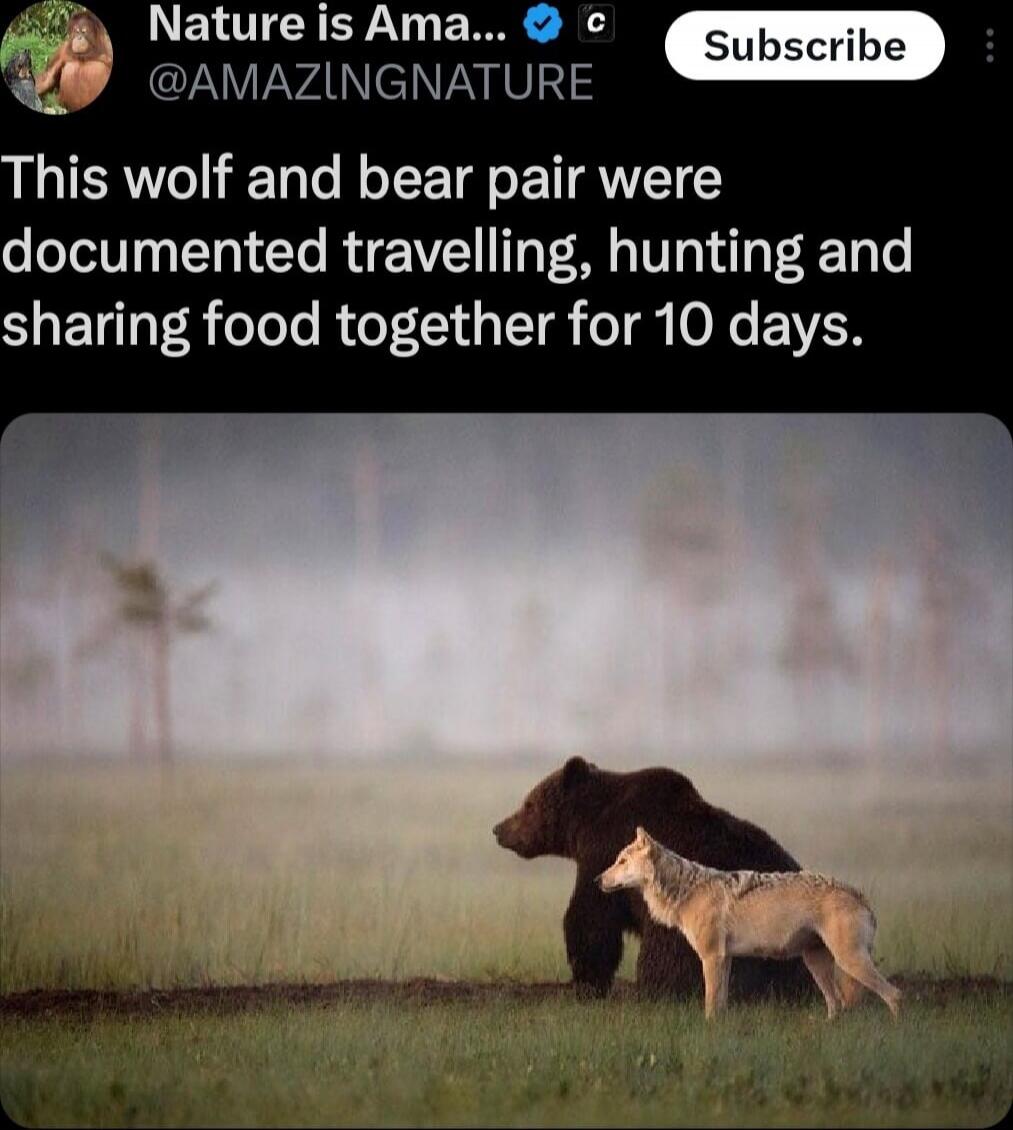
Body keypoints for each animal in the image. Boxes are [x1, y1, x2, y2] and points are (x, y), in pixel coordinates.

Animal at [493, 756, 813, 1001]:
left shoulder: (604, 854)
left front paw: (586, 981)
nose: (499, 828)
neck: (588, 823)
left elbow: (591, 919)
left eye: (529, 804)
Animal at [597, 827, 901, 1020]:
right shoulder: (725, 959)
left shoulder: (712, 957)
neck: (686, 890)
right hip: (817, 963)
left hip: (849, 961)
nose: (597, 880)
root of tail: (859, 894)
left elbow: (710, 1004)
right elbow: (720, 1003)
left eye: (621, 861)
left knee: (894, 995)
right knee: (837, 1004)